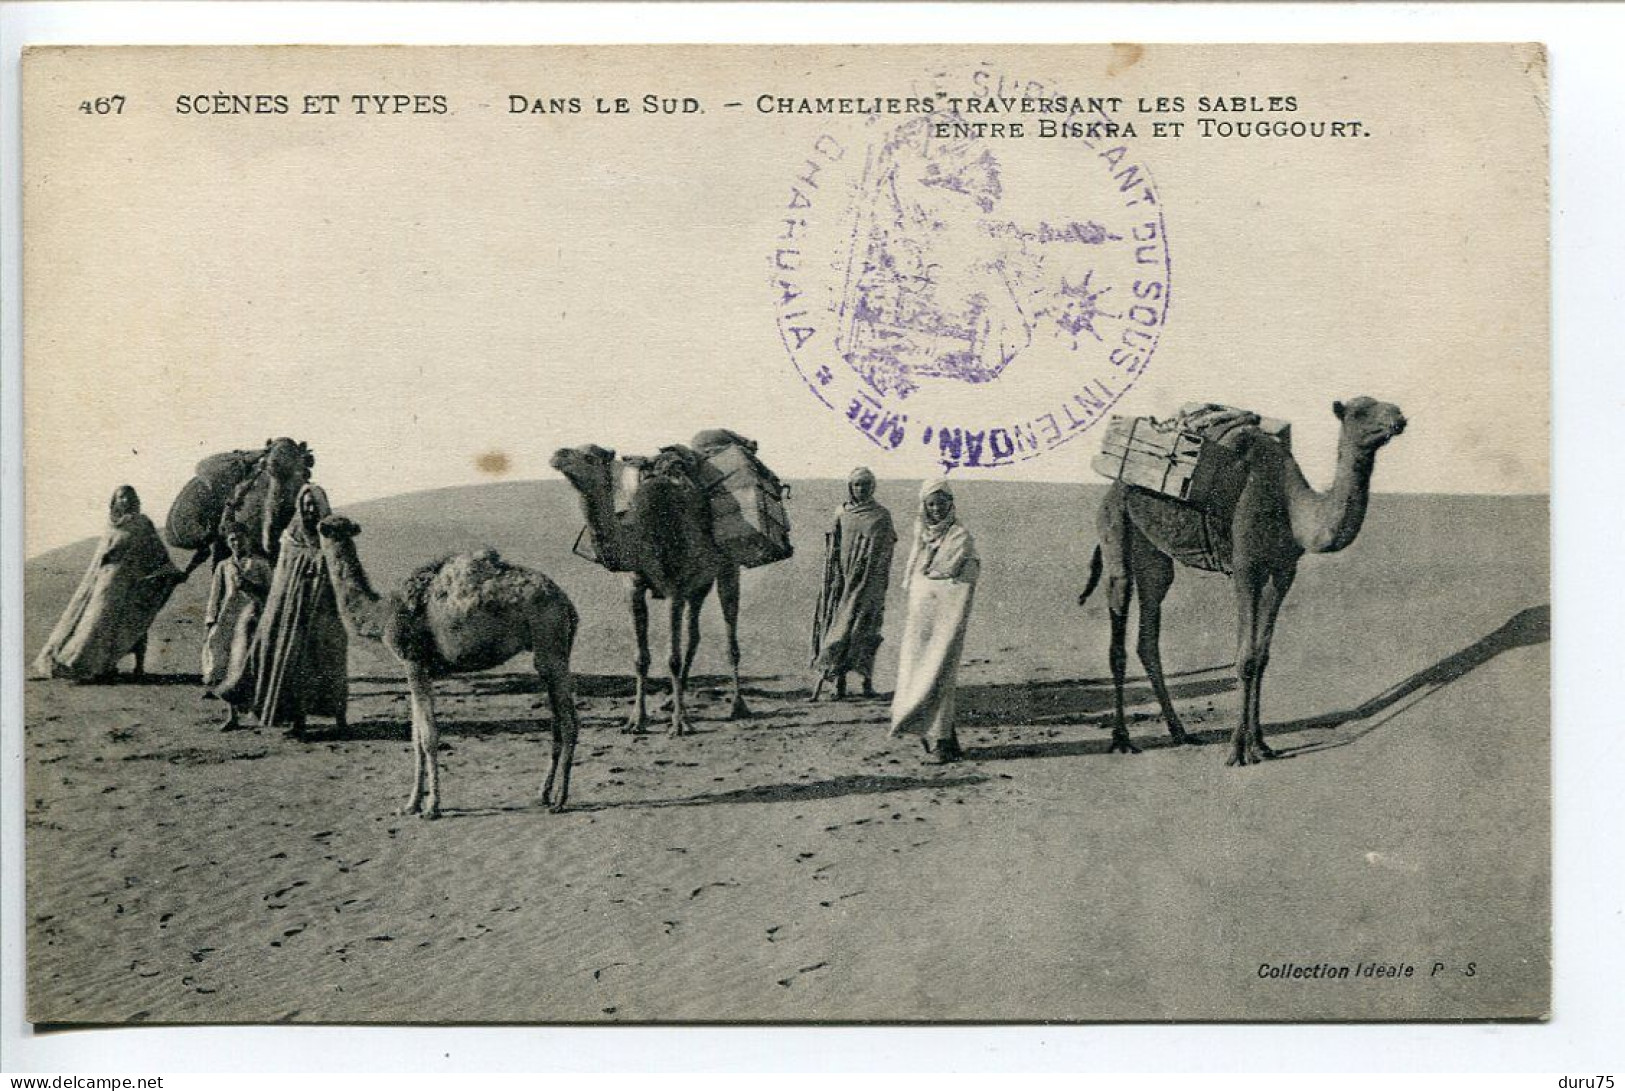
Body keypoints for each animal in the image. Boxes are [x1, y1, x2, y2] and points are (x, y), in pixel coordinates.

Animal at [313, 517, 581, 816]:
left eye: (320, 524)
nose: (313, 532)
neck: (382, 614)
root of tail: (567, 604)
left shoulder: (414, 662)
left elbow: (428, 736)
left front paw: (431, 807)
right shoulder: (421, 669)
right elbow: (416, 737)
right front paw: (410, 805)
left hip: (549, 641)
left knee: (570, 721)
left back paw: (559, 800)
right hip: (552, 650)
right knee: (557, 720)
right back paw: (544, 794)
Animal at [546, 448, 747, 738]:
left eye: (590, 456)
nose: (558, 455)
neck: (643, 535)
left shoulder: (675, 590)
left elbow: (672, 658)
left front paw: (679, 724)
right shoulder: (634, 589)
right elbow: (640, 658)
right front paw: (636, 720)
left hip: (728, 568)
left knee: (730, 636)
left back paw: (738, 706)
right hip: (699, 584)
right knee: (693, 635)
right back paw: (672, 701)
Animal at [1072, 396, 1404, 764]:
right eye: (1360, 411)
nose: (1399, 419)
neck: (1289, 504)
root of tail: (1113, 484)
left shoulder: (1283, 571)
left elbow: (1261, 657)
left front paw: (1260, 744)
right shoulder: (1246, 568)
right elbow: (1244, 658)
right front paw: (1237, 750)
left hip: (1153, 557)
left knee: (1149, 632)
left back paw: (1180, 732)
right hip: (1113, 526)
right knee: (1118, 623)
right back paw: (1122, 739)